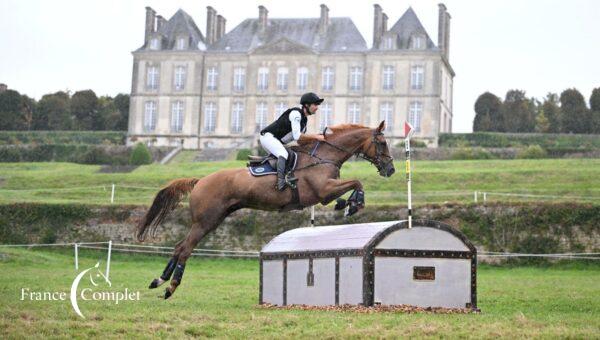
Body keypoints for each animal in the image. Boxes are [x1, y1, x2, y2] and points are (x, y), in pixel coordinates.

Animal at [138, 121, 396, 298]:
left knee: (179, 246)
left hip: (213, 220)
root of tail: (200, 180)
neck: (325, 156)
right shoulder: (322, 191)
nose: (391, 170)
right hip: (205, 222)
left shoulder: (323, 194)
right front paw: (353, 204)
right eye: (382, 143)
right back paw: (170, 287)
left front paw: (346, 204)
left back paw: (159, 280)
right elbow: (357, 183)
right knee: (185, 249)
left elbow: (352, 185)